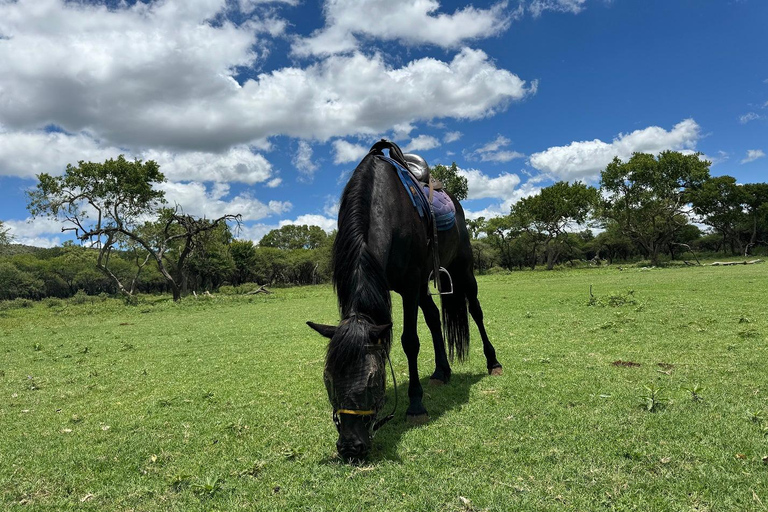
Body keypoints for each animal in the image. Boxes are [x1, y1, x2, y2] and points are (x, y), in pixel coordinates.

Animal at [308, 140, 504, 460]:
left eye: (372, 380)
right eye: (328, 379)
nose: (350, 447)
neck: (384, 205)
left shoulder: (410, 286)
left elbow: (409, 341)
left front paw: (415, 405)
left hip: (463, 269)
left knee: (475, 311)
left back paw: (493, 363)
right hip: (427, 285)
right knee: (435, 318)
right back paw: (441, 372)